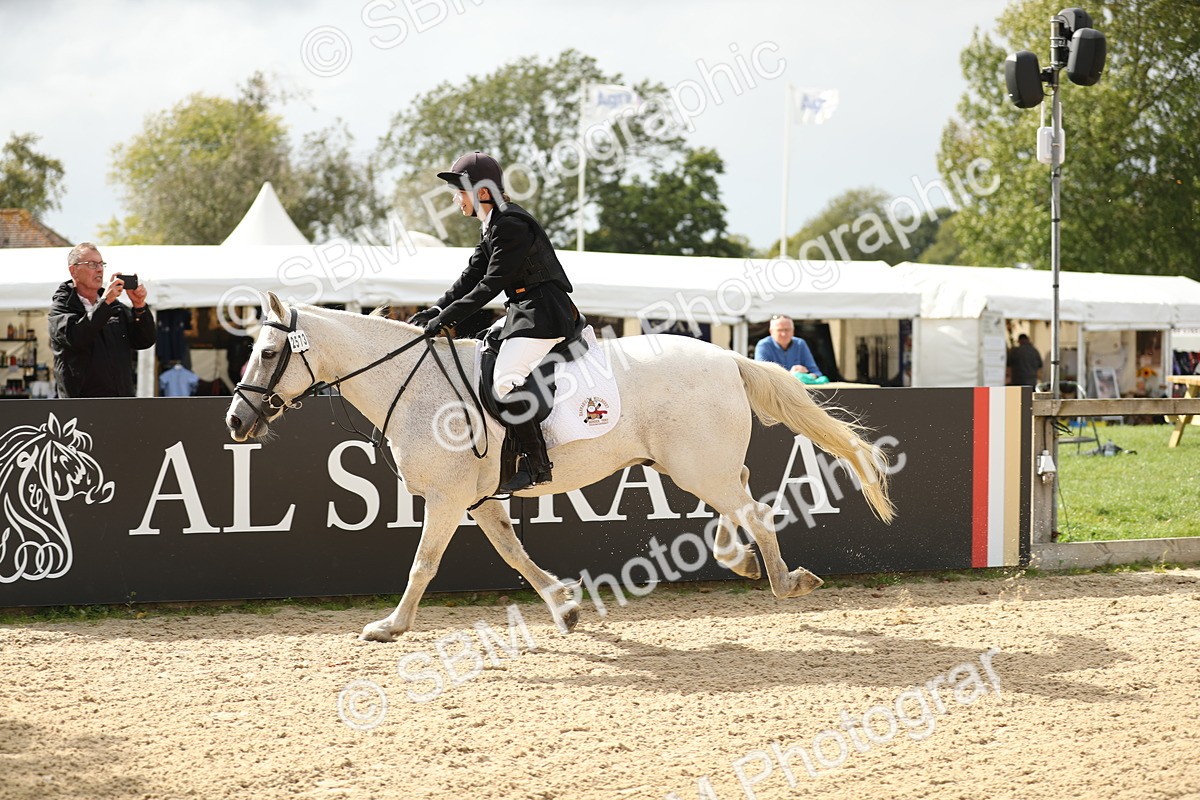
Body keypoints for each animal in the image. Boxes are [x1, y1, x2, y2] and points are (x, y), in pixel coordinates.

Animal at [226, 293, 894, 642]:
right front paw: (565, 605)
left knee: (754, 512)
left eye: (268, 351)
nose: (235, 422)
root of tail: (728, 357)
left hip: (698, 465)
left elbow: (422, 565)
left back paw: (784, 581)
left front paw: (391, 626)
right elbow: (514, 554)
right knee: (743, 503)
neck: (413, 386)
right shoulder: (478, 500)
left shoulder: (445, 500)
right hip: (698, 465)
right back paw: (745, 563)